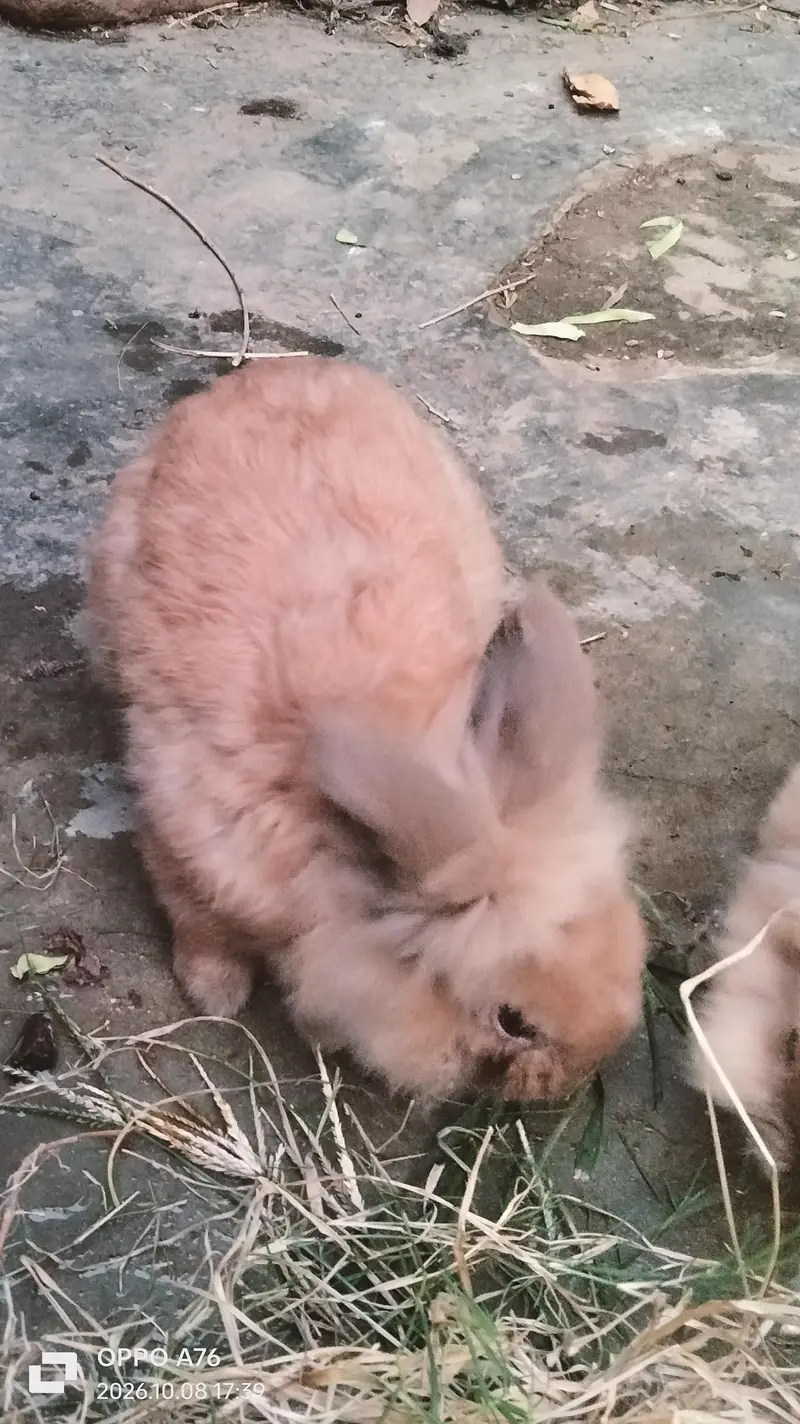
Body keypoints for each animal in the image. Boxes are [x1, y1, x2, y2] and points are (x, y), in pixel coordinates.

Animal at [86, 356, 646, 1103]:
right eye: (512, 1020)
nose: (577, 1076)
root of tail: (277, 370)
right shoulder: (186, 847)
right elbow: (199, 923)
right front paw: (216, 995)